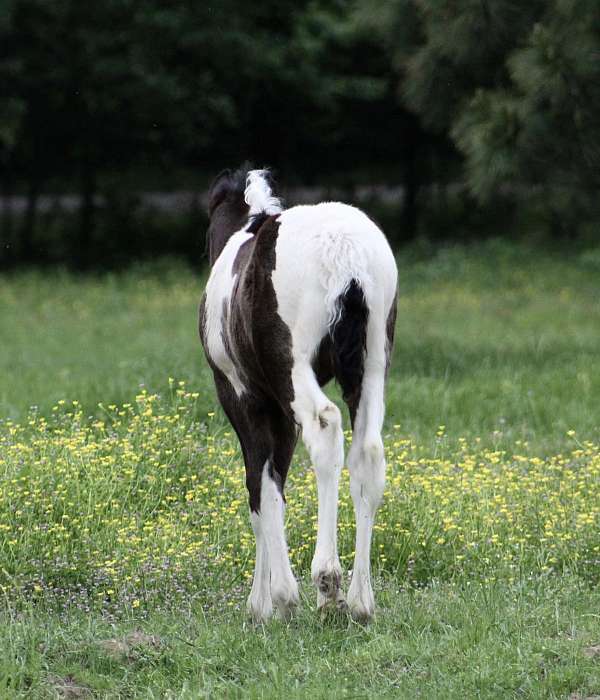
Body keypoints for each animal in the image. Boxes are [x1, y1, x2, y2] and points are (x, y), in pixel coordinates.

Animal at [200, 165, 398, 624]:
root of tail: (345, 254)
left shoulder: (244, 397)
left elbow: (260, 489)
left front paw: (271, 600)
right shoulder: (278, 407)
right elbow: (275, 480)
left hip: (293, 370)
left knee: (325, 429)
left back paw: (327, 583)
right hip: (372, 366)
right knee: (368, 451)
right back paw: (361, 600)